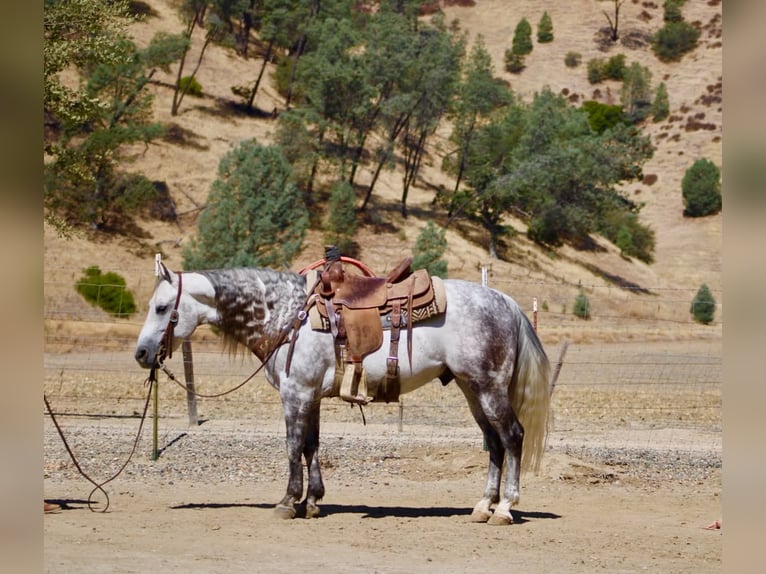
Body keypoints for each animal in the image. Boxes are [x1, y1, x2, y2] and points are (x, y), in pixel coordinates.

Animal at [134, 262, 551, 525]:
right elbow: (311, 445)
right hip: (472, 389)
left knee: (512, 437)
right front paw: (312, 501)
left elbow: (292, 445)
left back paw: (504, 509)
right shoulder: (312, 396)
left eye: (162, 307)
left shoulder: (296, 393)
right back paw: (482, 506)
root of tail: (506, 302)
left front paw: (288, 502)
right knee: (494, 443)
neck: (288, 315)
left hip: (489, 387)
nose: (141, 354)